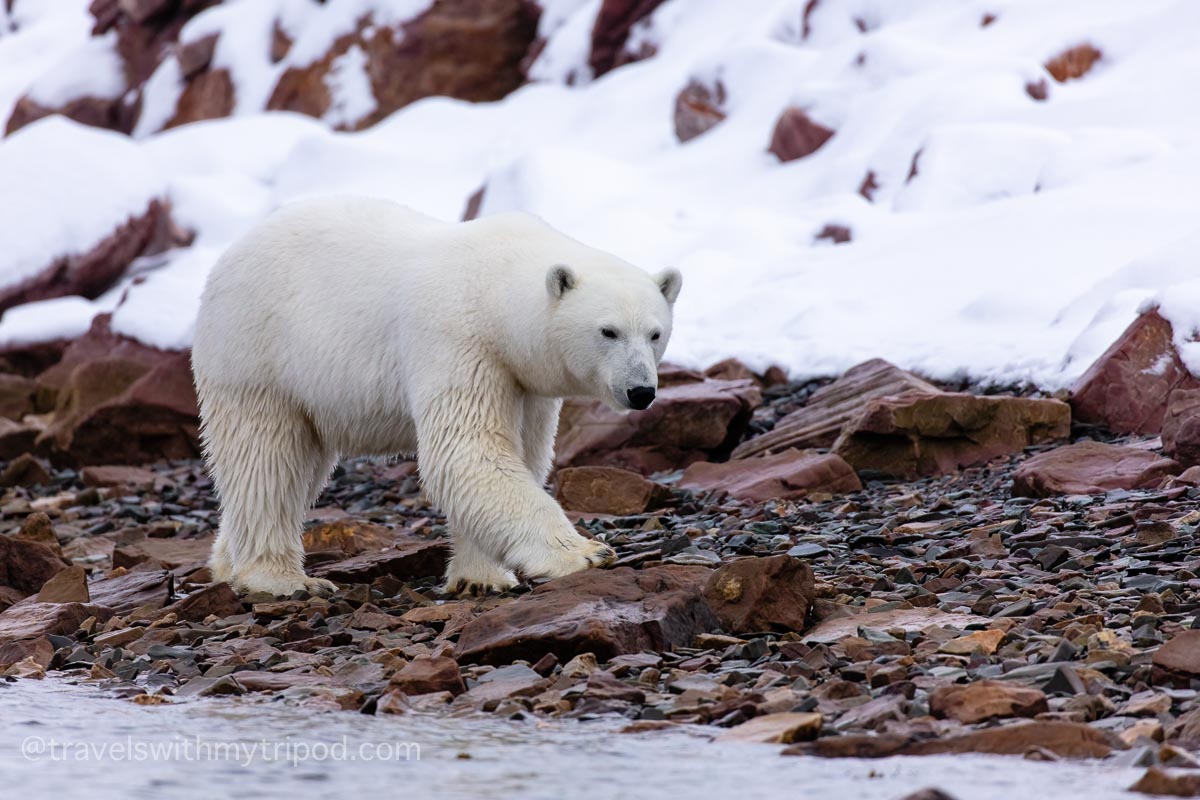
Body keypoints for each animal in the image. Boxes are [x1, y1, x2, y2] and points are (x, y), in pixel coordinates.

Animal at [194, 195, 686, 594]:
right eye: (608, 331)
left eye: (655, 333)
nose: (641, 391)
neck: (494, 286)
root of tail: (229, 254)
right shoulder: (457, 340)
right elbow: (466, 451)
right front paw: (585, 552)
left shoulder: (522, 380)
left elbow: (519, 454)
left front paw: (480, 578)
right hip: (258, 351)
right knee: (266, 458)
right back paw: (282, 580)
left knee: (294, 466)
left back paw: (227, 564)